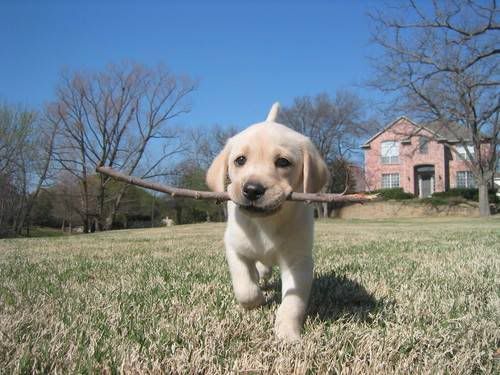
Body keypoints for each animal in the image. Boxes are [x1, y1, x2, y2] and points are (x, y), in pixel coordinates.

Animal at [206, 102, 328, 340]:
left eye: (283, 162)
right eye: (240, 160)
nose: (252, 190)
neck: (266, 224)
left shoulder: (299, 261)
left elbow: (293, 301)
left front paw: (287, 333)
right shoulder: (234, 247)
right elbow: (244, 287)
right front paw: (256, 301)